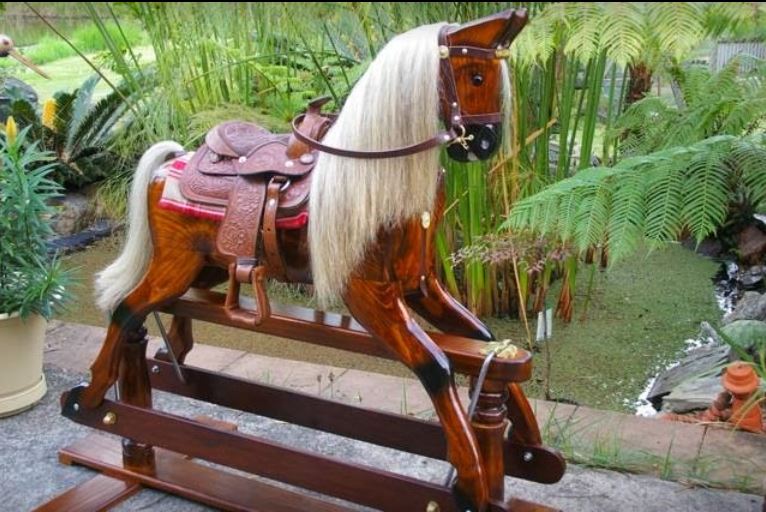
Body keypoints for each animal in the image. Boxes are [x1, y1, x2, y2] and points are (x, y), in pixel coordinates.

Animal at [82, 10, 529, 511]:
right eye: (476, 75)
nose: (487, 142)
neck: (374, 180)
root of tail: (171, 161)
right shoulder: (368, 294)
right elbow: (437, 366)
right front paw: (471, 475)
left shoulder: (422, 287)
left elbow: (486, 341)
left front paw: (530, 445)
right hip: (172, 265)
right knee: (125, 309)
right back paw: (92, 398)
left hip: (204, 265)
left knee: (167, 308)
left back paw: (169, 359)